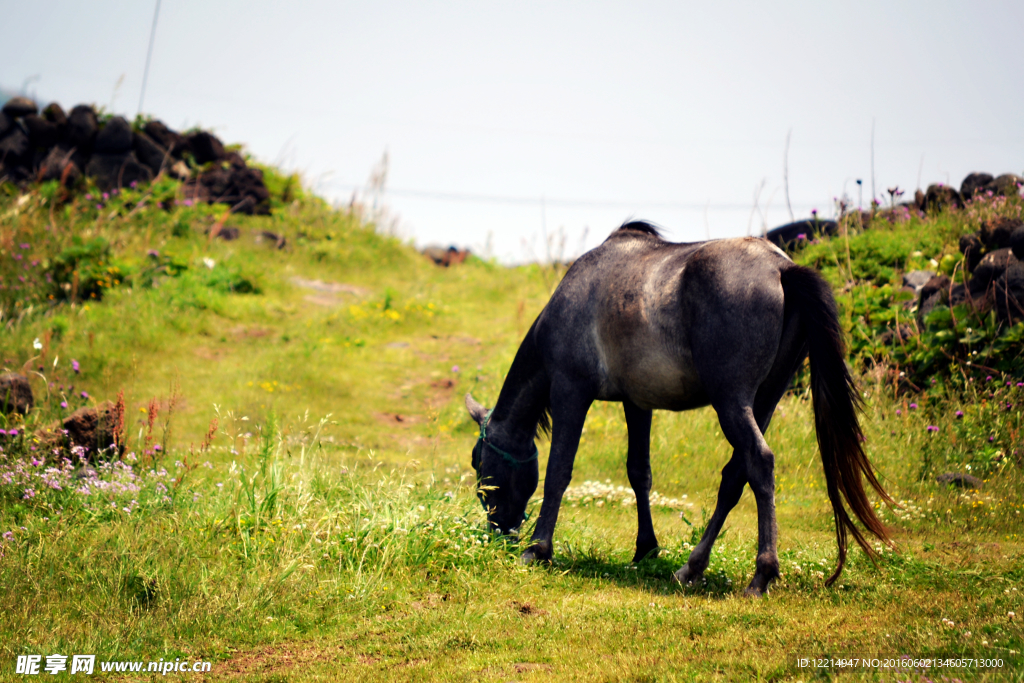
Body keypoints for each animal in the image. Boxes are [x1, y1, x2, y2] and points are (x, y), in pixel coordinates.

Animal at [468, 222, 892, 593]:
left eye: (478, 462)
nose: (498, 532)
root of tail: (781, 268)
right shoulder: (636, 404)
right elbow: (639, 473)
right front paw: (646, 548)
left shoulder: (571, 392)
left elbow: (559, 470)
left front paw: (539, 548)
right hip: (765, 400)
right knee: (735, 476)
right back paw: (692, 567)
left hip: (731, 401)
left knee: (759, 462)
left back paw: (761, 575)